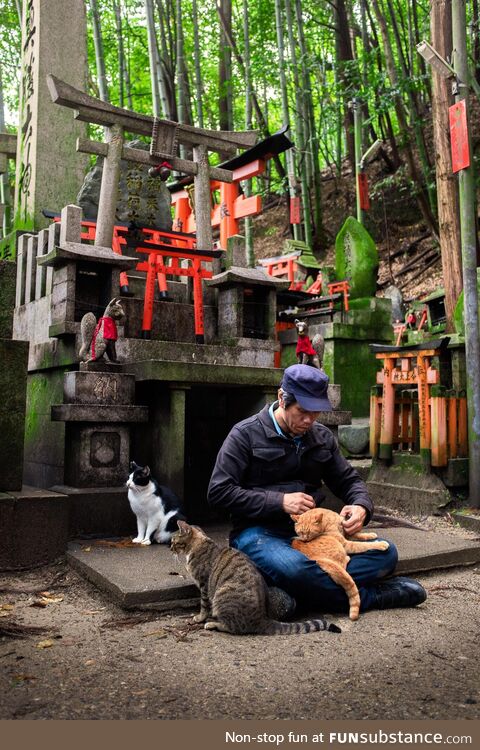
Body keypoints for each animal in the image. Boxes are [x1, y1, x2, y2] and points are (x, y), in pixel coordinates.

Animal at [171, 524, 340, 636]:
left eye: (173, 541)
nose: (170, 547)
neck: (198, 543)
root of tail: (261, 618)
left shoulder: (204, 584)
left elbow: (204, 606)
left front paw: (199, 618)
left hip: (222, 593)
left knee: (233, 627)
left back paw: (213, 624)